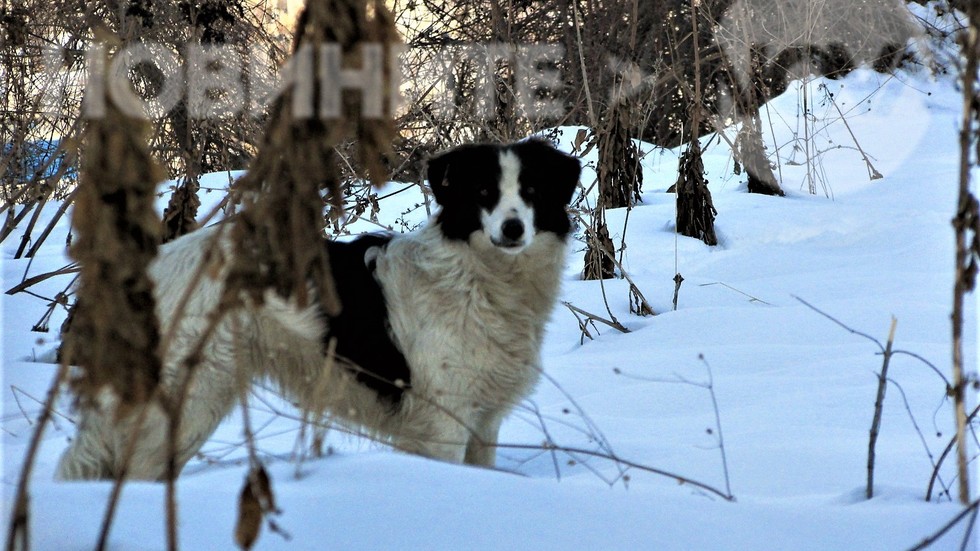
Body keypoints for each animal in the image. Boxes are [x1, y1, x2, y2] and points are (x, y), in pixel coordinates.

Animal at [57, 137, 580, 478]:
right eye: (483, 193)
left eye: (532, 192)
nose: (513, 229)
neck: (480, 276)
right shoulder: (443, 418)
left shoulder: (483, 420)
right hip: (190, 396)